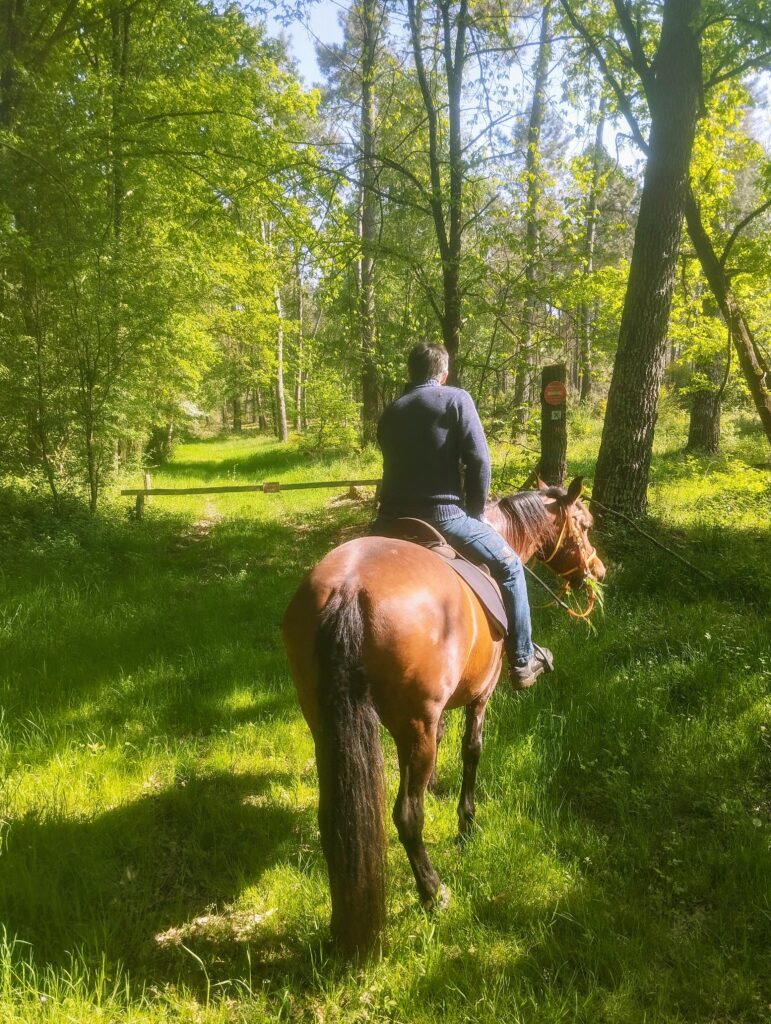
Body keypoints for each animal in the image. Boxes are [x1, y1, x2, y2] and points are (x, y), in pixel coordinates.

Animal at [282, 476, 605, 958]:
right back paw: (433, 892)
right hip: (413, 726)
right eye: (584, 524)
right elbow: (472, 752)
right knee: (406, 816)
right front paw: (466, 825)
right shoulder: (480, 696)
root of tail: (348, 592)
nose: (598, 571)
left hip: (324, 722)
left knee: (335, 815)